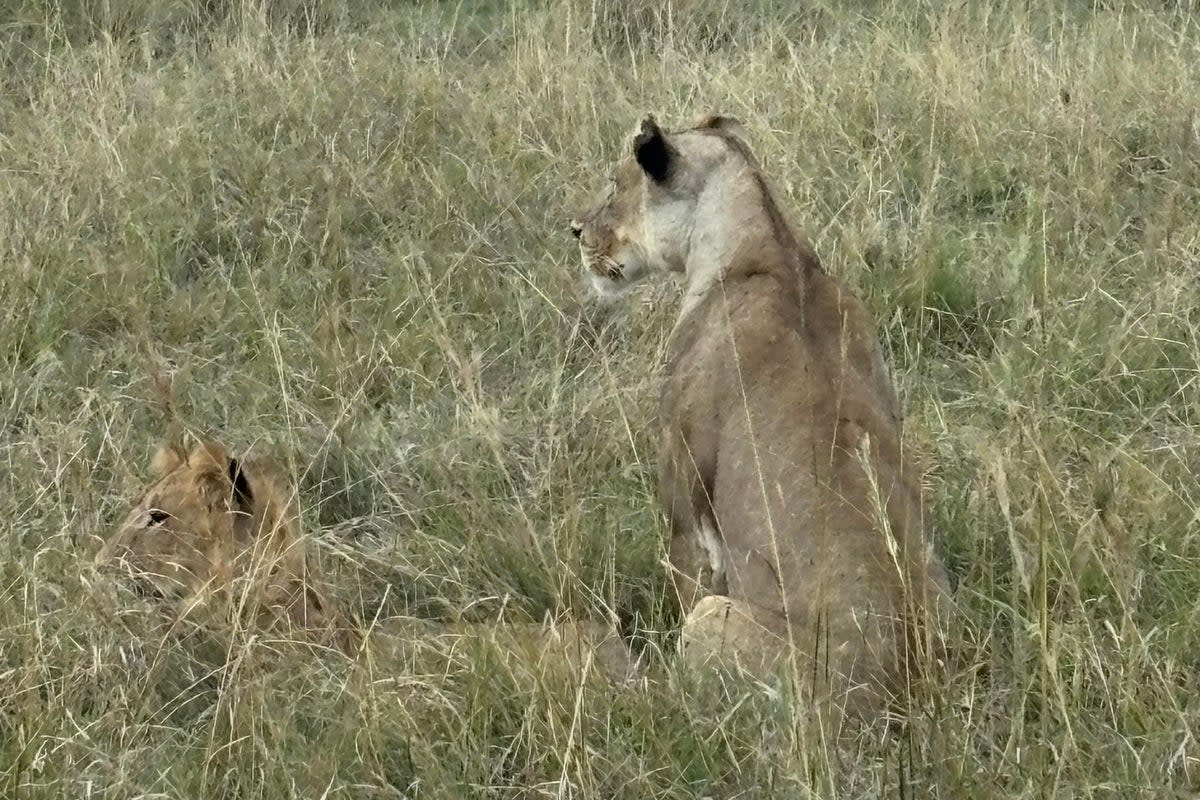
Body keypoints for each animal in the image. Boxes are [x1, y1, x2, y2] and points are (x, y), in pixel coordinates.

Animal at [571, 114, 950, 715]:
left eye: (615, 184)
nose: (576, 230)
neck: (772, 245)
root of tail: (903, 704)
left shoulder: (683, 505)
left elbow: (683, 577)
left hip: (715, 624)